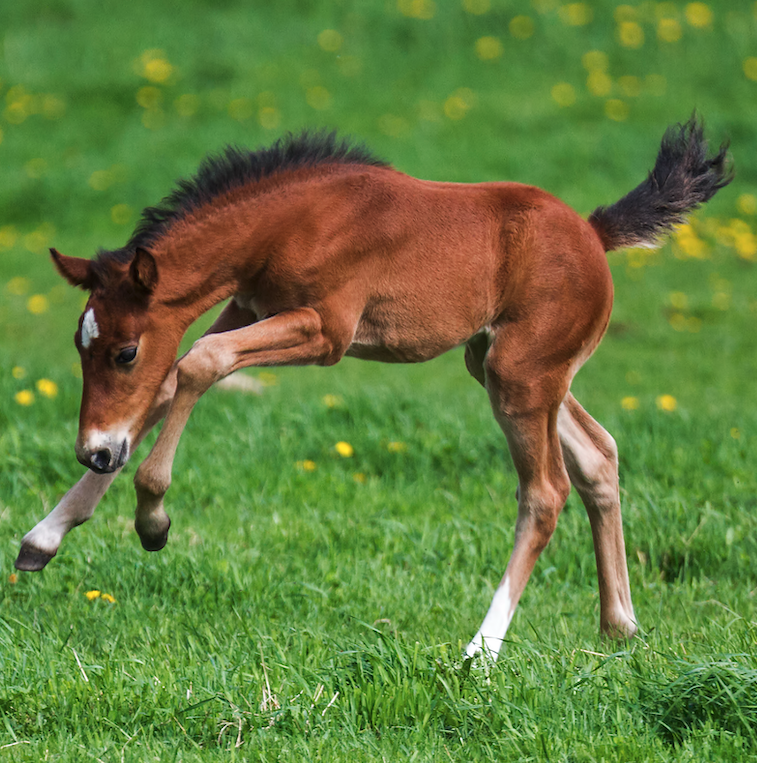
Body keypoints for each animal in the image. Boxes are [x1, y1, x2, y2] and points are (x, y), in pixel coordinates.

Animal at [16, 121, 728, 664]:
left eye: (124, 351)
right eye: (80, 345)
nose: (92, 451)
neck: (290, 222)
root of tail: (592, 232)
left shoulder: (326, 329)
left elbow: (195, 366)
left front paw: (153, 518)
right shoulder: (246, 308)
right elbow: (171, 382)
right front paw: (45, 535)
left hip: (521, 375)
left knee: (546, 492)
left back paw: (481, 652)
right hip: (503, 364)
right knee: (599, 456)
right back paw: (620, 627)